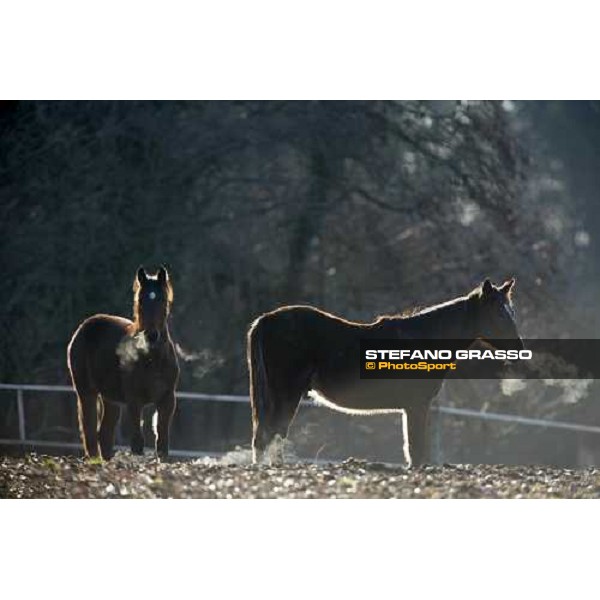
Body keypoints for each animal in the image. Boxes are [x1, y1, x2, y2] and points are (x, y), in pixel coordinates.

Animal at [67, 266, 178, 460]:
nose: (152, 336)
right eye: (140, 301)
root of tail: (83, 328)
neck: (153, 360)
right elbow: (137, 443)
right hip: (86, 392)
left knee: (104, 433)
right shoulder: (134, 401)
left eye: (163, 300)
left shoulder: (167, 399)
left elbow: (162, 443)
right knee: (89, 430)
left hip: (110, 398)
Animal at [247, 278, 520, 466]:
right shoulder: (417, 405)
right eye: (498, 314)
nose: (519, 349)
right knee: (270, 435)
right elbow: (416, 449)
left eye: (511, 312)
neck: (423, 339)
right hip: (285, 395)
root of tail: (265, 320)